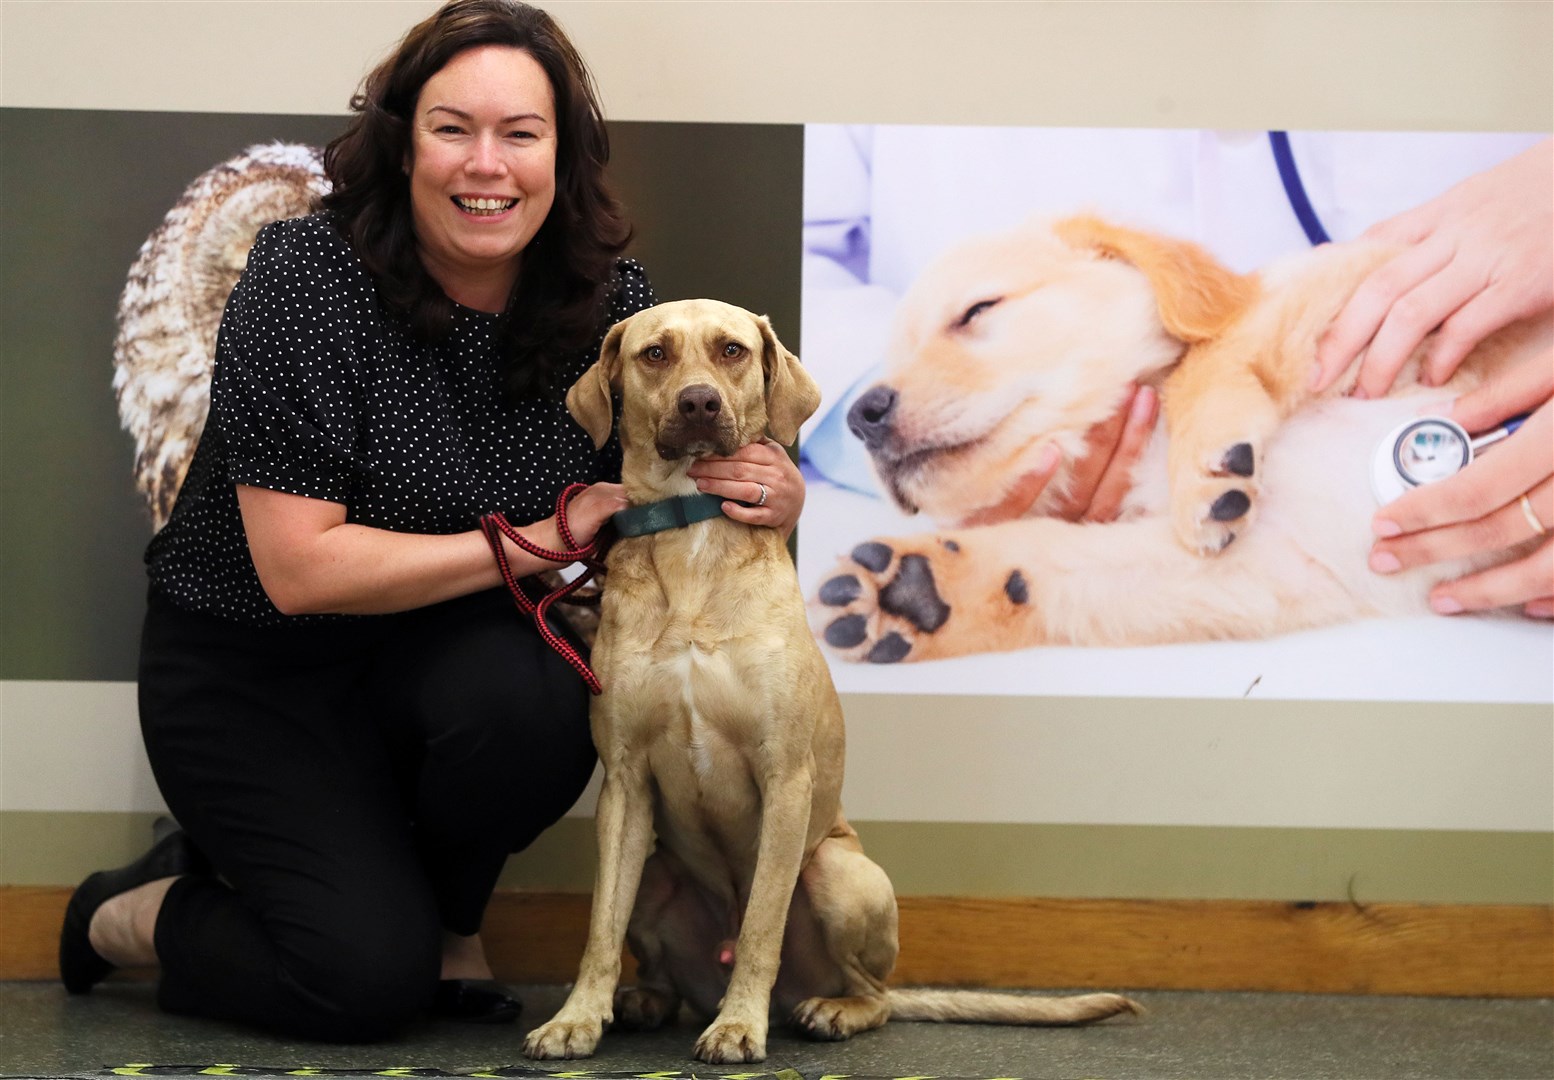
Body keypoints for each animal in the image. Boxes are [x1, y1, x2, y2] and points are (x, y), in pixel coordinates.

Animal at [522, 299, 1143, 1069]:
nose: (699, 403)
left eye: (731, 350)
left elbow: (761, 924)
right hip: (658, 872)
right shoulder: (626, 785)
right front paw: (577, 1018)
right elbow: (599, 930)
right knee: (660, 956)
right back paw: (646, 1001)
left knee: (871, 993)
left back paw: (829, 1010)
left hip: (839, 875)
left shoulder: (785, 779)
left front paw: (738, 1027)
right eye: (655, 354)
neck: (692, 532)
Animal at [808, 216, 1547, 661]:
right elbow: (1049, 559)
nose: (861, 414)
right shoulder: (1264, 565)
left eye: (977, 311)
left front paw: (1208, 466)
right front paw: (916, 592)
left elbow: (1217, 348)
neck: (1154, 449)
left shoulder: (1369, 302)